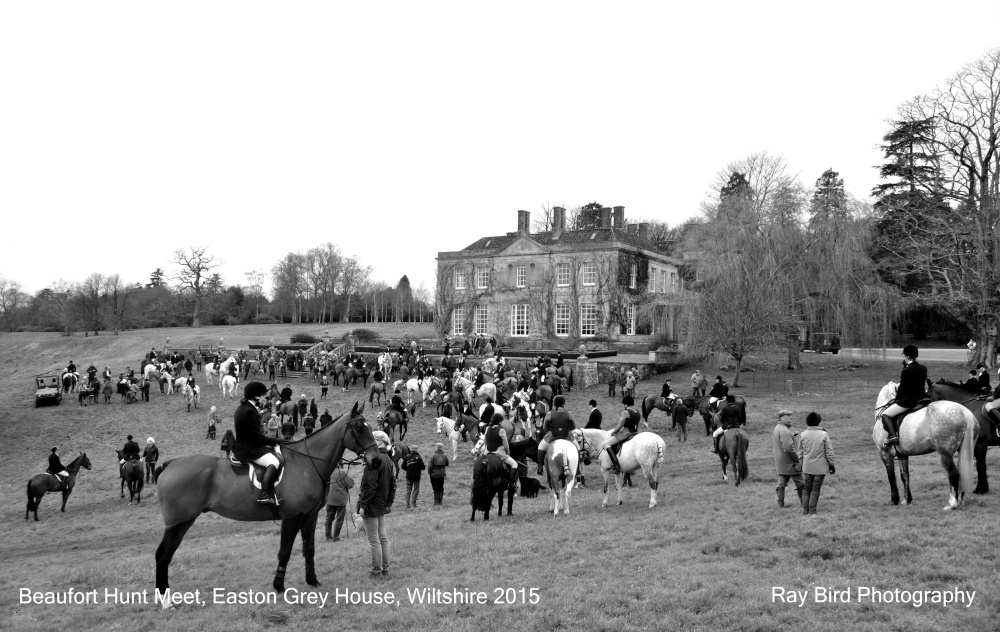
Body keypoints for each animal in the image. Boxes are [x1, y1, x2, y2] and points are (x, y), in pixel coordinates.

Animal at [152, 402, 378, 604]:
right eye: (359, 428)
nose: (376, 460)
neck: (307, 462)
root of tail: (170, 464)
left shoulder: (310, 516)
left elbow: (309, 549)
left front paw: (312, 581)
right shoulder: (292, 517)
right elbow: (285, 552)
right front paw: (279, 586)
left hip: (183, 522)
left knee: (165, 554)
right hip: (178, 523)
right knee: (163, 555)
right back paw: (166, 600)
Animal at [876, 380, 976, 508]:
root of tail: (965, 413)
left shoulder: (884, 452)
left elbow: (891, 476)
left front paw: (894, 500)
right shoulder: (903, 455)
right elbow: (905, 476)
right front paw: (907, 500)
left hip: (944, 453)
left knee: (953, 474)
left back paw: (952, 504)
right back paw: (960, 500)